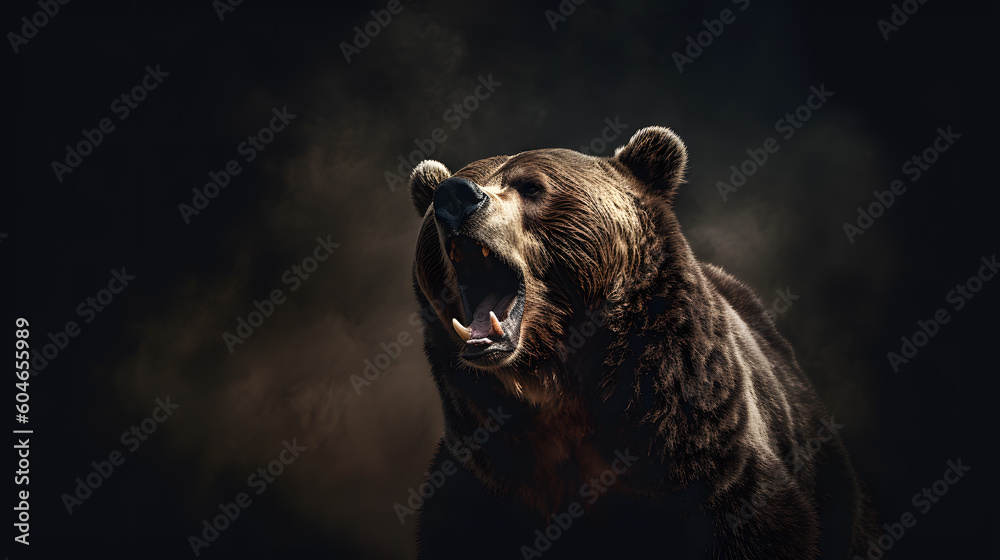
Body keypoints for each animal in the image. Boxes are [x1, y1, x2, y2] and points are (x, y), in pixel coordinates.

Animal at [406, 126, 877, 559]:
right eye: (438, 203)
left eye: (532, 186)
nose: (455, 195)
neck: (558, 383)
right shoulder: (488, 482)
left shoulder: (708, 462)